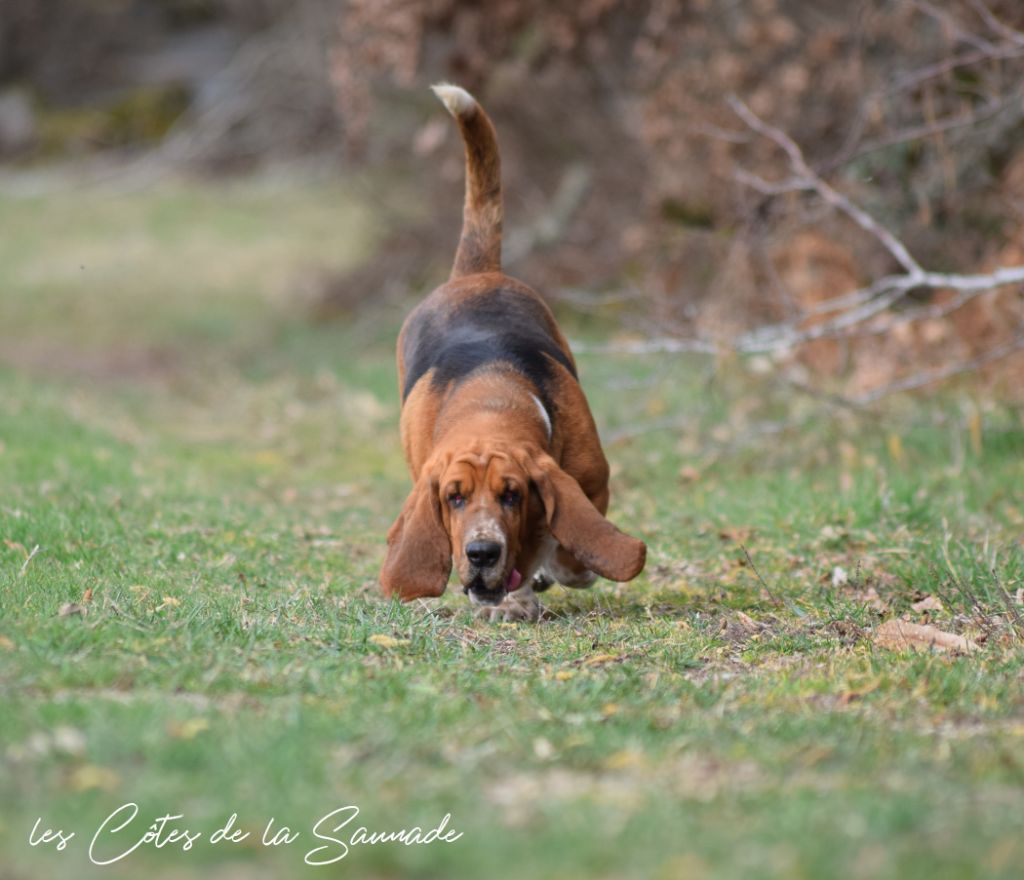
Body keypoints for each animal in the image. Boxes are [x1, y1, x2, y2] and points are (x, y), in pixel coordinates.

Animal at [380, 83, 646, 621]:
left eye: (512, 495)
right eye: (453, 498)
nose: (482, 553)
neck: (489, 396)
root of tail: (474, 273)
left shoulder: (592, 484)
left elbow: (565, 541)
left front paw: (552, 570)